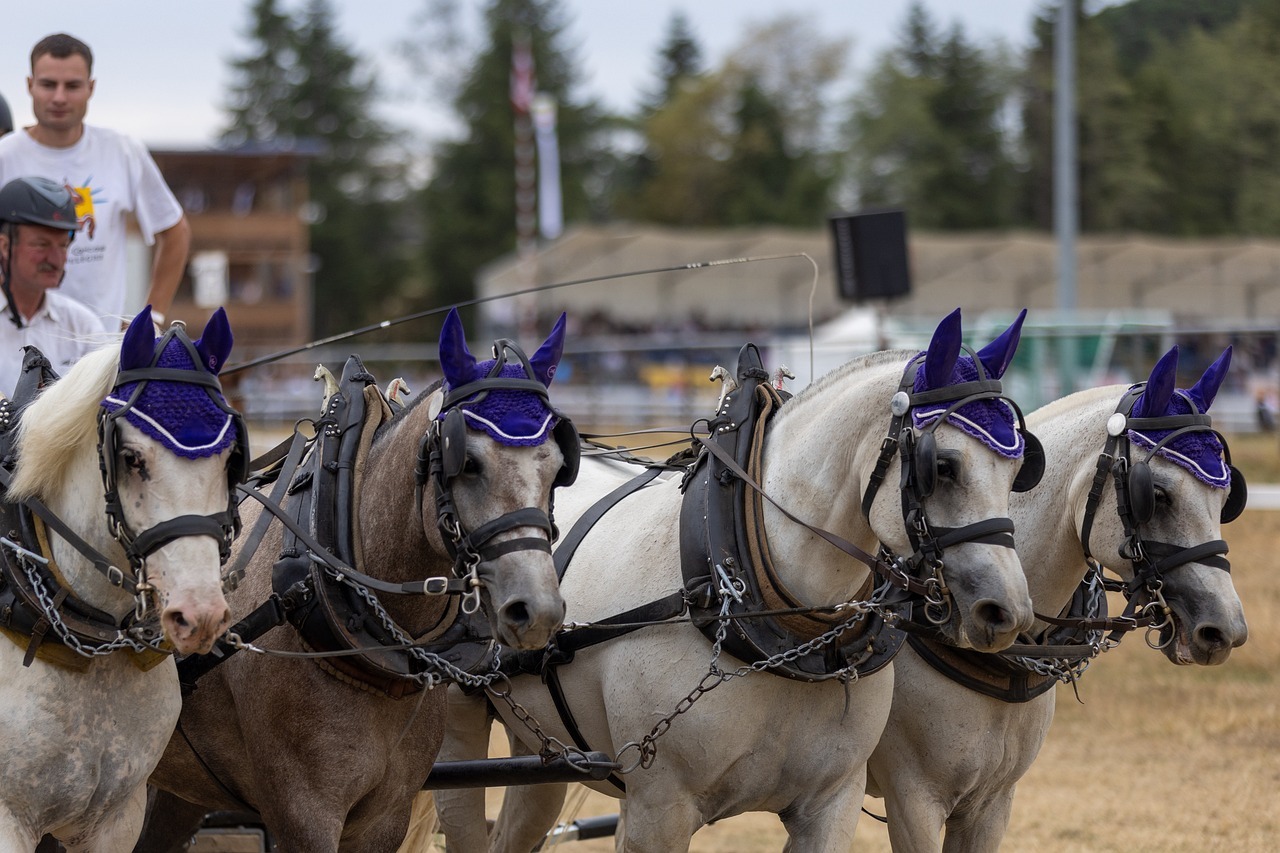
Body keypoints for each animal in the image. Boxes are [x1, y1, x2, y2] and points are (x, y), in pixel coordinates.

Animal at [437, 307, 1039, 850]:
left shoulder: (833, 804)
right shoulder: (658, 808)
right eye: (944, 466)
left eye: (1020, 468)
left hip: (539, 748)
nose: (1005, 611)